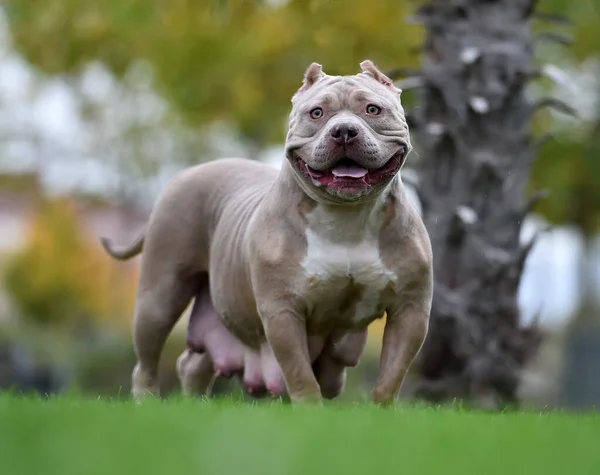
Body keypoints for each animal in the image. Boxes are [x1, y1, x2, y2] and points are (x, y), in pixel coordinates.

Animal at [102, 61, 432, 408]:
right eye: (317, 113)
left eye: (372, 109)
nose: (343, 130)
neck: (347, 217)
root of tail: (188, 173)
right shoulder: (282, 311)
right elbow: (299, 372)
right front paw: (310, 410)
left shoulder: (410, 310)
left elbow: (392, 373)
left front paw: (382, 410)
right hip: (160, 294)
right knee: (147, 357)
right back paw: (146, 401)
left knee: (193, 362)